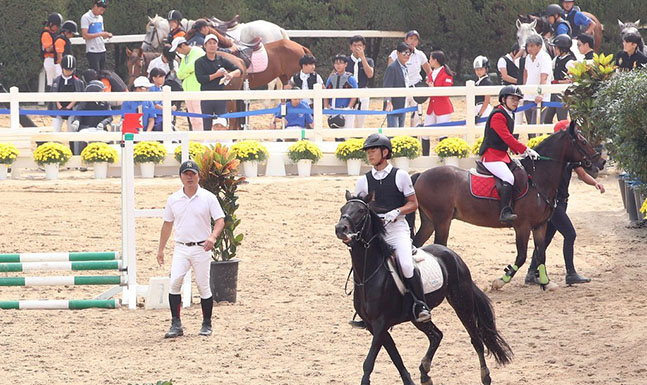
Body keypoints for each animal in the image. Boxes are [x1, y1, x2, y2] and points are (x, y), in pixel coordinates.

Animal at [336, 191, 512, 384]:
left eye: (361, 211)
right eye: (342, 209)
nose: (340, 229)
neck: (369, 274)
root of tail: (454, 256)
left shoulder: (380, 324)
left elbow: (369, 362)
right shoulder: (373, 326)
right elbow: (395, 356)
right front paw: (409, 379)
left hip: (462, 304)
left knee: (476, 340)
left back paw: (485, 376)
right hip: (417, 318)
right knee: (436, 335)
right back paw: (425, 372)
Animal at [412, 122, 604, 288]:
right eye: (583, 141)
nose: (600, 163)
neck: (538, 178)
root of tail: (421, 175)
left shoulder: (540, 226)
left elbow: (541, 254)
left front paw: (546, 283)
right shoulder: (522, 226)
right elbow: (522, 256)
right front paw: (500, 281)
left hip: (429, 222)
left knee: (416, 244)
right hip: (442, 221)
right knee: (438, 246)